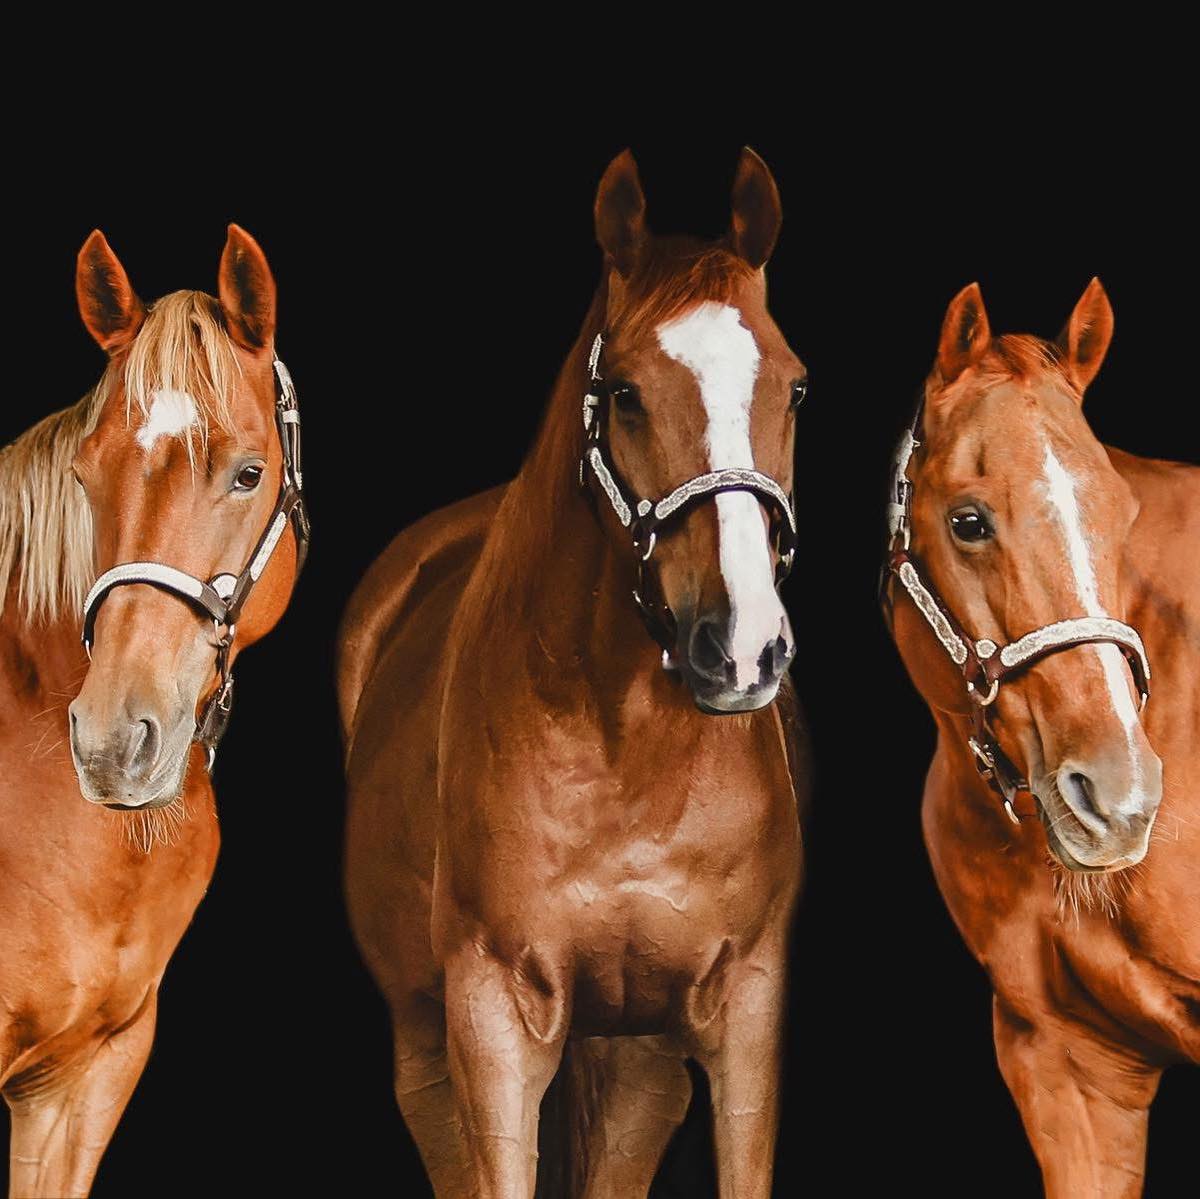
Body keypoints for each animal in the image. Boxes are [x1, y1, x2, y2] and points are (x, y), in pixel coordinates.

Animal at [340, 148, 808, 1198]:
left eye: (796, 390)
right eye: (626, 391)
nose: (743, 645)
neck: (626, 752)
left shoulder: (745, 1012)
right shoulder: (493, 1020)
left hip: (635, 1057)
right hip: (426, 1047)